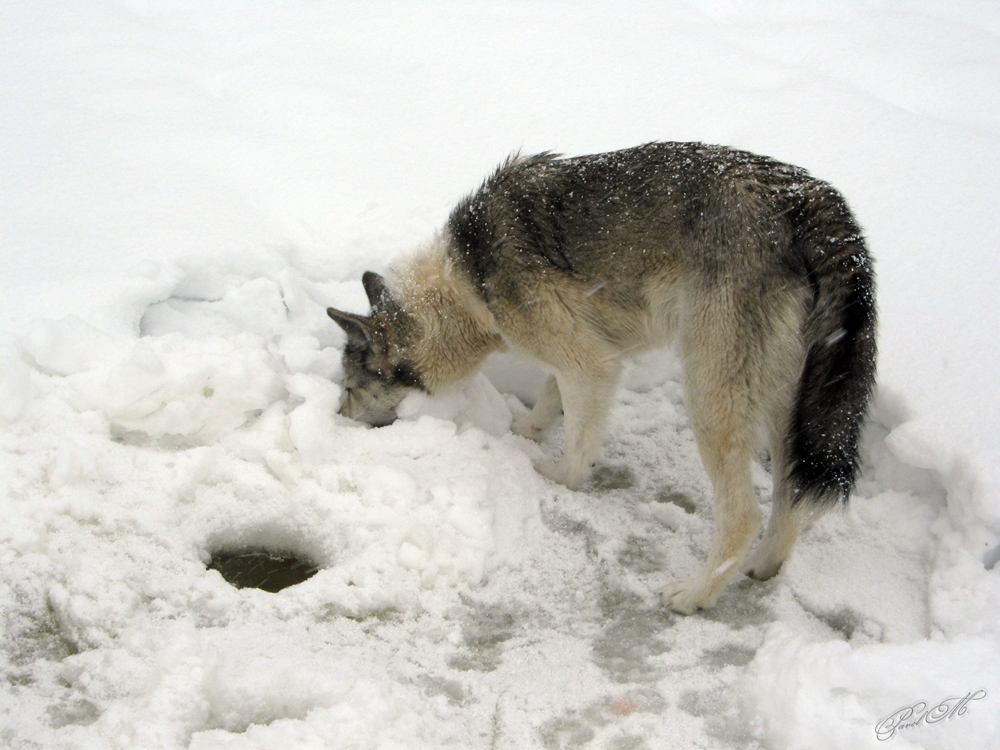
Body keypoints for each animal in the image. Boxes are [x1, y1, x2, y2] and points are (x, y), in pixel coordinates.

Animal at [328, 144, 876, 612]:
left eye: (350, 390)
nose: (336, 420)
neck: (466, 281)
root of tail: (806, 197)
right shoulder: (588, 349)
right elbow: (551, 399)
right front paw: (525, 431)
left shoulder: (591, 364)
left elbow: (578, 446)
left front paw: (556, 476)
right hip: (787, 409)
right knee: (791, 495)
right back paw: (762, 567)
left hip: (710, 395)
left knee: (743, 515)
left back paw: (694, 596)